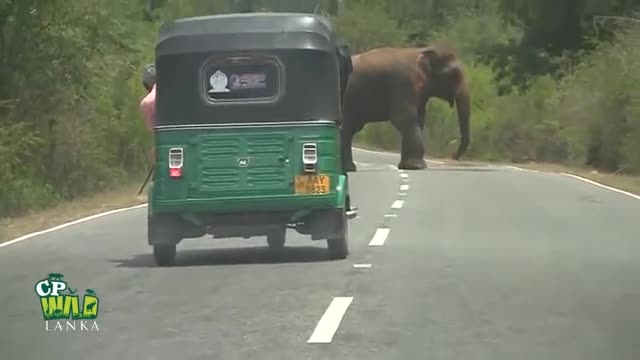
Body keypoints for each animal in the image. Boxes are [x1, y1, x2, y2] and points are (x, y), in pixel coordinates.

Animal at [340, 45, 470, 172]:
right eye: (453, 75)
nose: (452, 155)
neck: (421, 51)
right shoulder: (403, 84)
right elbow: (404, 119)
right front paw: (416, 167)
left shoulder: (419, 95)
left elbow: (419, 120)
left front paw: (411, 166)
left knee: (349, 129)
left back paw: (349, 168)